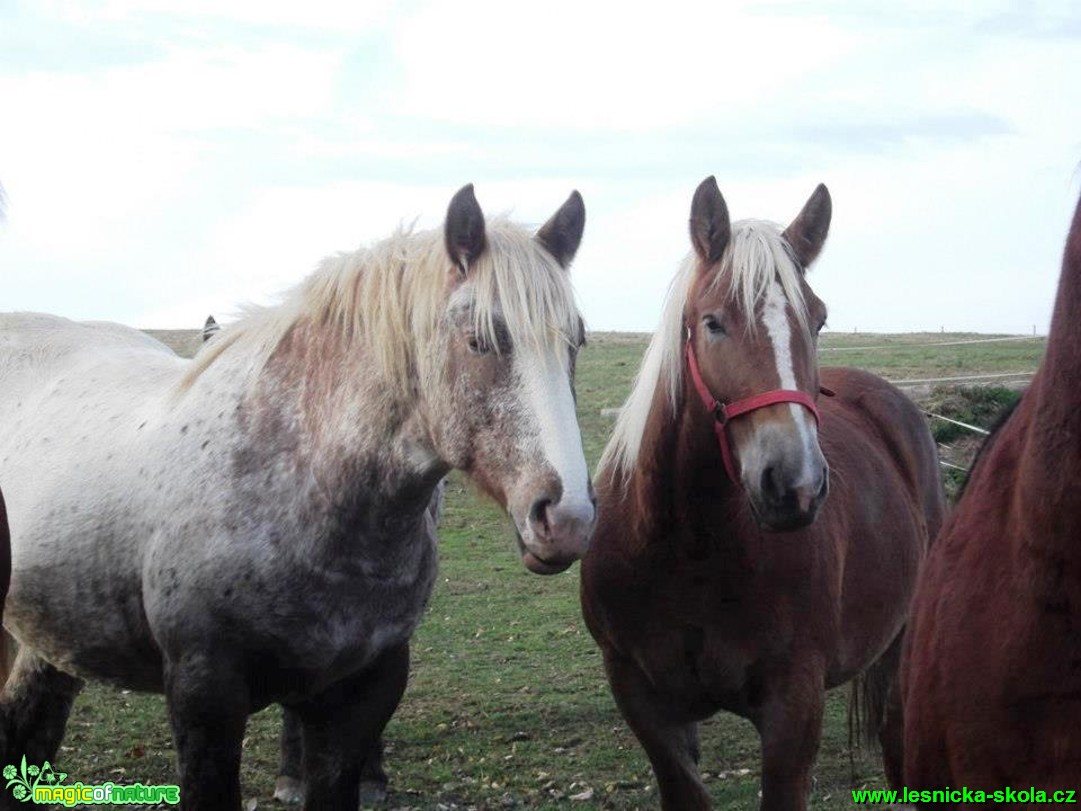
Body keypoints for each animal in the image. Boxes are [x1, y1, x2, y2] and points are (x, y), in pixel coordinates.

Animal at [583, 177, 946, 811]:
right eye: (712, 322)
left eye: (818, 321)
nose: (794, 483)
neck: (685, 550)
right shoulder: (643, 699)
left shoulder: (793, 706)